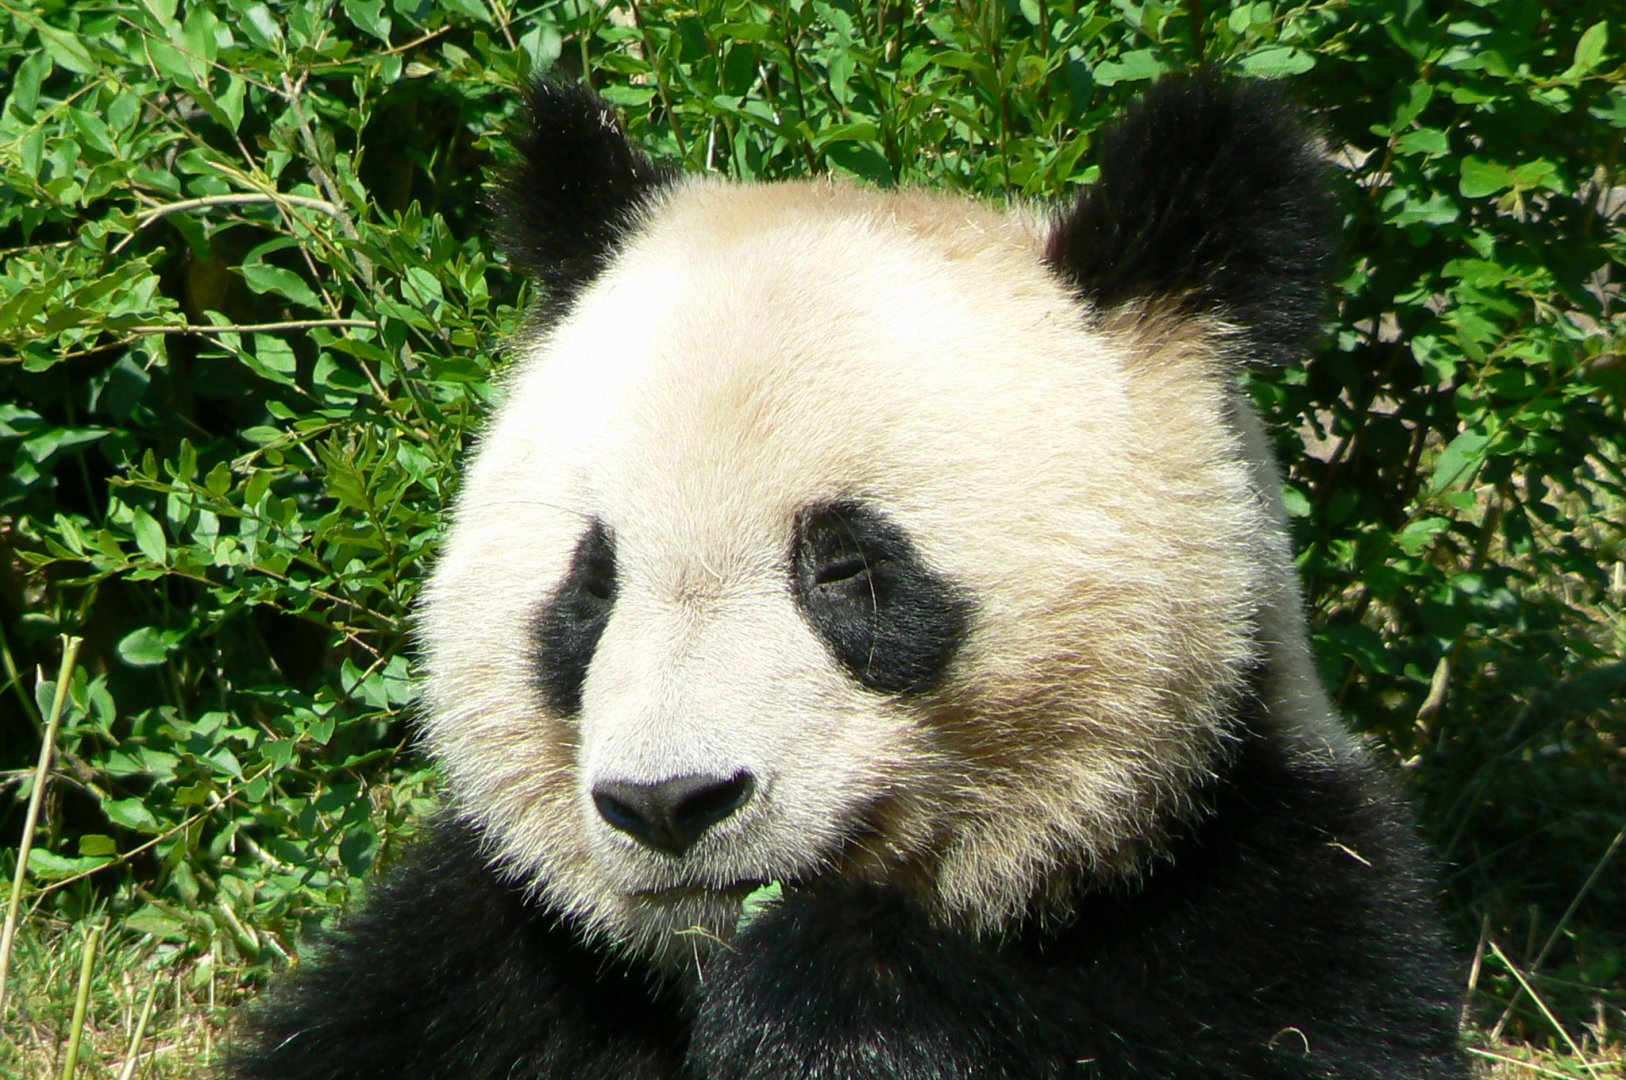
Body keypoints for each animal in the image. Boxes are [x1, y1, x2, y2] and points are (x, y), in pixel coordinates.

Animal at [232, 72, 1467, 1079]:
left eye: (848, 570)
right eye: (592, 583)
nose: (670, 803)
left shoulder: (1270, 896)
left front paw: (821, 1010)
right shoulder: (491, 966)